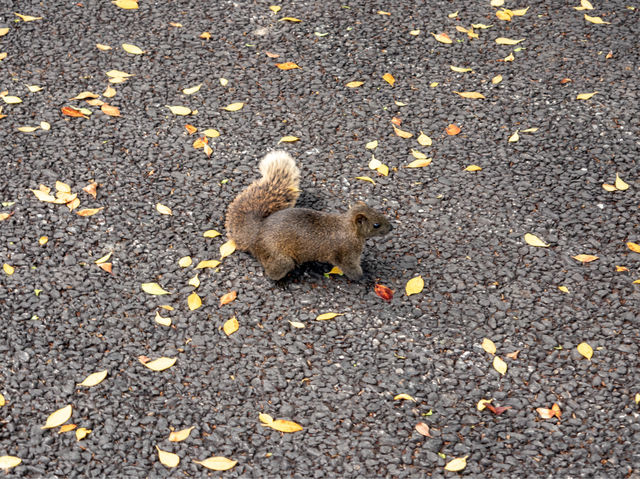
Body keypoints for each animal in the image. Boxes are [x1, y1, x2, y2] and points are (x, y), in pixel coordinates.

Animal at [228, 152, 392, 282]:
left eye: (378, 212)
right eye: (376, 225)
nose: (391, 228)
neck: (349, 228)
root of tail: (256, 235)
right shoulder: (346, 253)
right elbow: (351, 269)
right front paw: (365, 277)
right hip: (280, 259)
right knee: (271, 272)